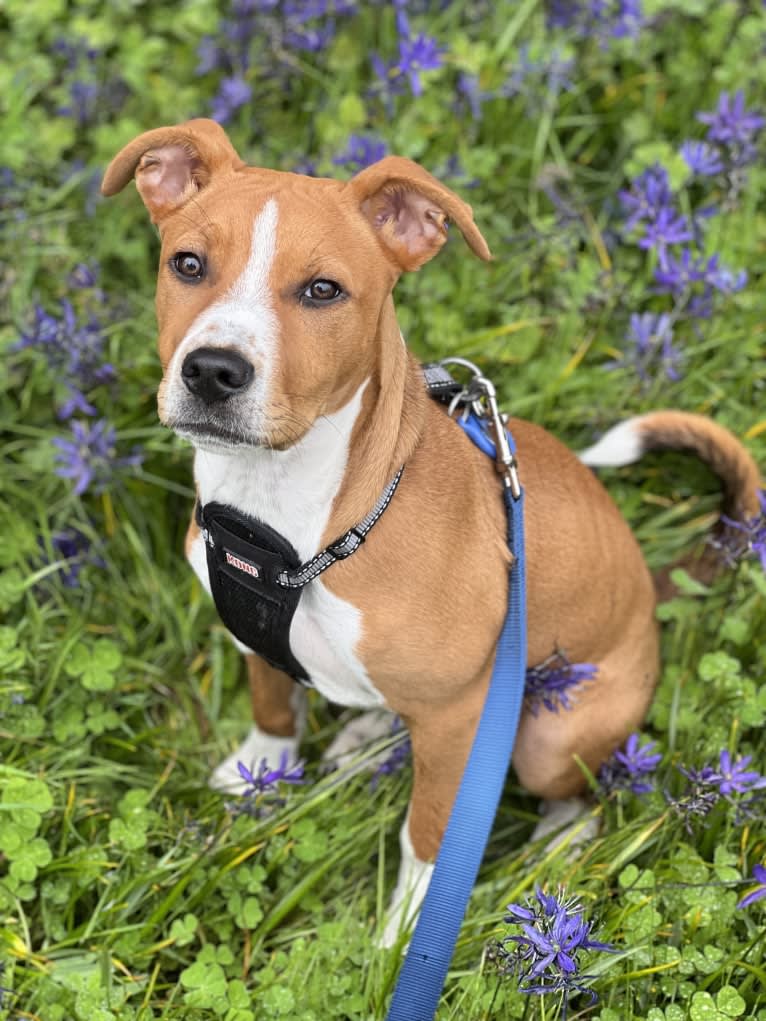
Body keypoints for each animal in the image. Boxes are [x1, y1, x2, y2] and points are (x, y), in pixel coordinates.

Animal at [103, 121, 766, 947]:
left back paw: (558, 845)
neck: (288, 512)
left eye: (323, 290)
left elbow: (428, 835)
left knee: (582, 793)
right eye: (187, 263)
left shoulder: (457, 721)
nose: (213, 371)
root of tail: (652, 591)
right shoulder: (248, 625)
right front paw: (262, 769)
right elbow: (272, 703)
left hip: (547, 738)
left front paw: (402, 935)